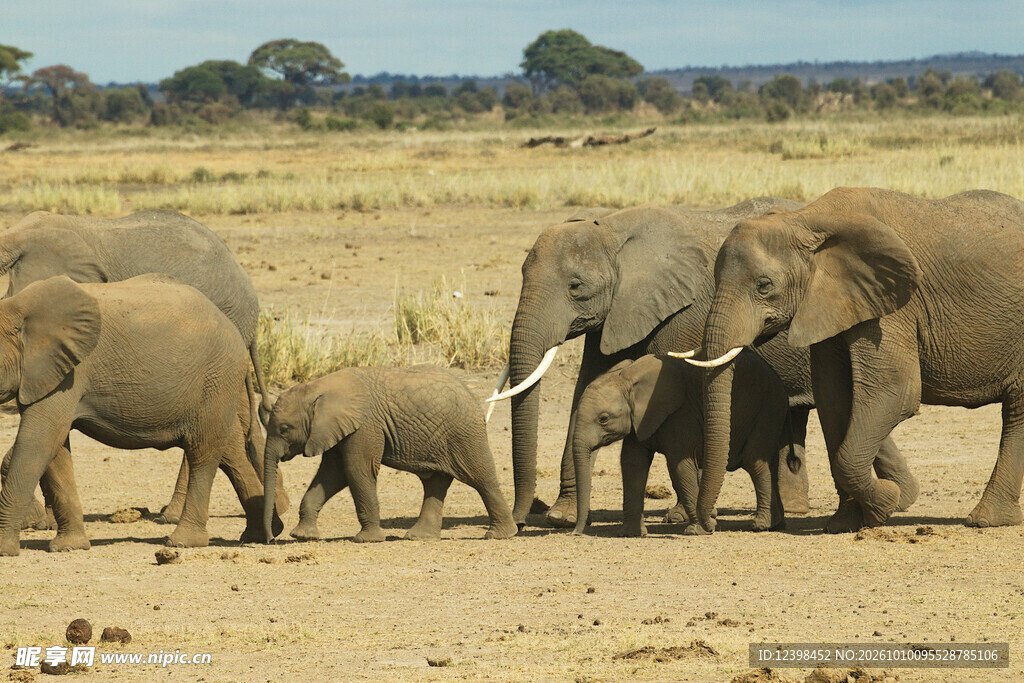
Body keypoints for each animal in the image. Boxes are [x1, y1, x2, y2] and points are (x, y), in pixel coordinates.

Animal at [262, 366, 518, 543]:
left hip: (464, 433)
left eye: (284, 429)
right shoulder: (336, 429)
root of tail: (472, 395)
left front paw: (367, 540)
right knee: (435, 482)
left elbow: (356, 470)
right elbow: (332, 475)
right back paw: (419, 537)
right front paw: (303, 536)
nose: (271, 539)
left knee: (481, 478)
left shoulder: (365, 425)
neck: (318, 387)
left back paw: (499, 535)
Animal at [571, 353, 788, 537]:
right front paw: (631, 534)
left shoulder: (681, 415)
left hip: (769, 408)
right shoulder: (638, 421)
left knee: (755, 462)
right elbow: (632, 463)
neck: (627, 377)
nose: (575, 533)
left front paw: (698, 531)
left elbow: (680, 465)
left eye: (603, 419)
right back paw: (775, 523)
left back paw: (761, 525)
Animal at [684, 186, 1024, 533]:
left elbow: (895, 390)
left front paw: (885, 504)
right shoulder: (830, 302)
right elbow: (834, 399)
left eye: (764, 286)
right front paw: (844, 523)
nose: (705, 525)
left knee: (1016, 411)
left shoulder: (892, 305)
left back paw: (984, 520)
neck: (807, 219)